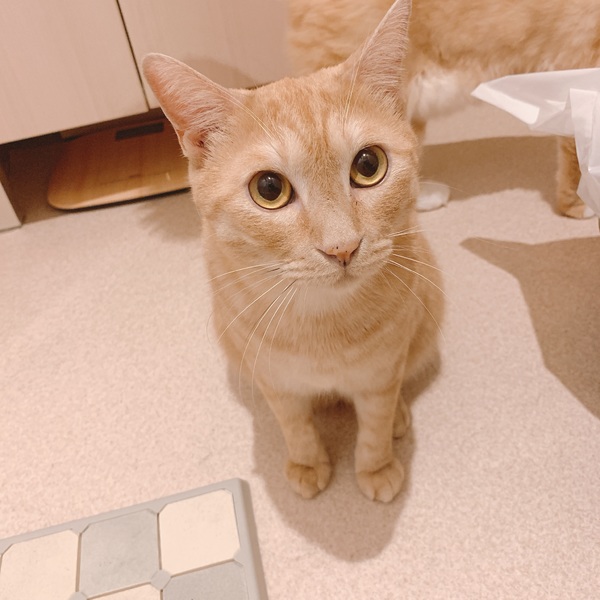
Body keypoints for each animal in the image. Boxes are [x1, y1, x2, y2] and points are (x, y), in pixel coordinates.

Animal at [142, 0, 442, 502]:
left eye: (369, 165)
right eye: (269, 189)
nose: (342, 248)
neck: (322, 323)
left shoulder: (381, 374)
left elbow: (375, 423)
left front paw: (377, 467)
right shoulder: (274, 380)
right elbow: (294, 425)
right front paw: (306, 463)